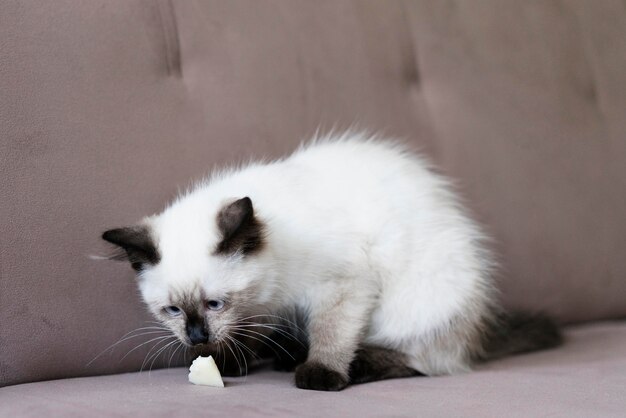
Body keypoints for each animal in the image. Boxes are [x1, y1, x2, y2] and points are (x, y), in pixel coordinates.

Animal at [102, 132, 560, 390]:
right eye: (173, 311)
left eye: (214, 303)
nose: (197, 338)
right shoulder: (264, 308)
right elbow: (248, 333)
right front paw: (229, 362)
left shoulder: (343, 286)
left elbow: (332, 334)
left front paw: (320, 374)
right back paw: (287, 356)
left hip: (417, 306)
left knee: (424, 361)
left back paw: (353, 366)